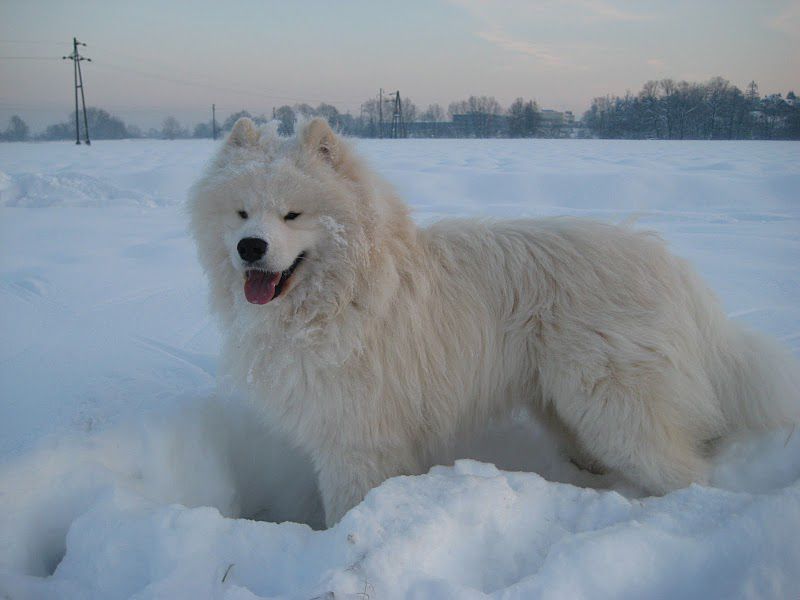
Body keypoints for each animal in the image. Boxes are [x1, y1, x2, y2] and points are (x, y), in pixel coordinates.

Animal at [189, 117, 800, 524]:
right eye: (242, 212)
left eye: (293, 214)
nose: (250, 247)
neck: (345, 296)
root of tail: (672, 268)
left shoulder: (358, 439)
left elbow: (349, 507)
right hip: (569, 406)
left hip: (616, 407)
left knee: (688, 473)